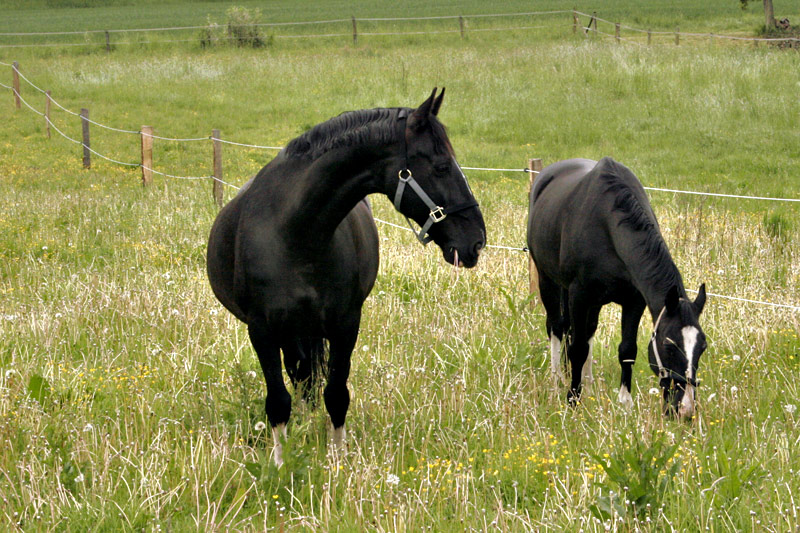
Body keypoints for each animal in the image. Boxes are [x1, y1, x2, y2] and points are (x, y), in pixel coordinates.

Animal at [206, 89, 484, 464]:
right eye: (441, 167)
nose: (476, 240)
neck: (295, 233)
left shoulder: (345, 324)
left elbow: (336, 393)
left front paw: (337, 462)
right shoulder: (262, 330)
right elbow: (278, 401)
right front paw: (280, 464)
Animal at [528, 156, 708, 418]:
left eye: (702, 346)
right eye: (668, 345)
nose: (684, 410)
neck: (607, 226)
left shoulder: (633, 301)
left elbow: (627, 351)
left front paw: (625, 403)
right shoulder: (579, 295)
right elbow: (578, 348)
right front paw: (572, 400)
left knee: (586, 331)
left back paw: (586, 382)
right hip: (548, 280)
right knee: (556, 327)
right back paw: (558, 379)